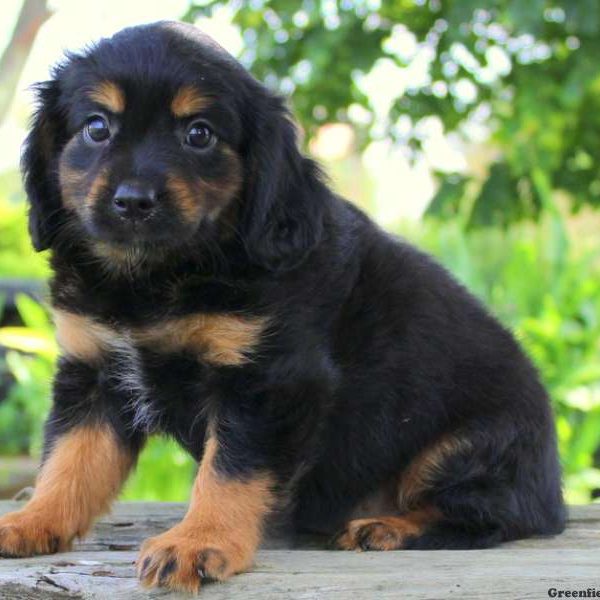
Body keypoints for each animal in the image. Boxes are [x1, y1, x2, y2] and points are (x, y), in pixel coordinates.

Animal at [0, 21, 564, 592]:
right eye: (96, 128)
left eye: (199, 134)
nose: (134, 201)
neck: (157, 277)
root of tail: (553, 498)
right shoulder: (94, 371)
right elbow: (69, 463)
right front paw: (32, 521)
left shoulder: (267, 383)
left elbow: (228, 471)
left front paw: (198, 541)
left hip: (468, 444)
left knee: (488, 516)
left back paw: (387, 526)